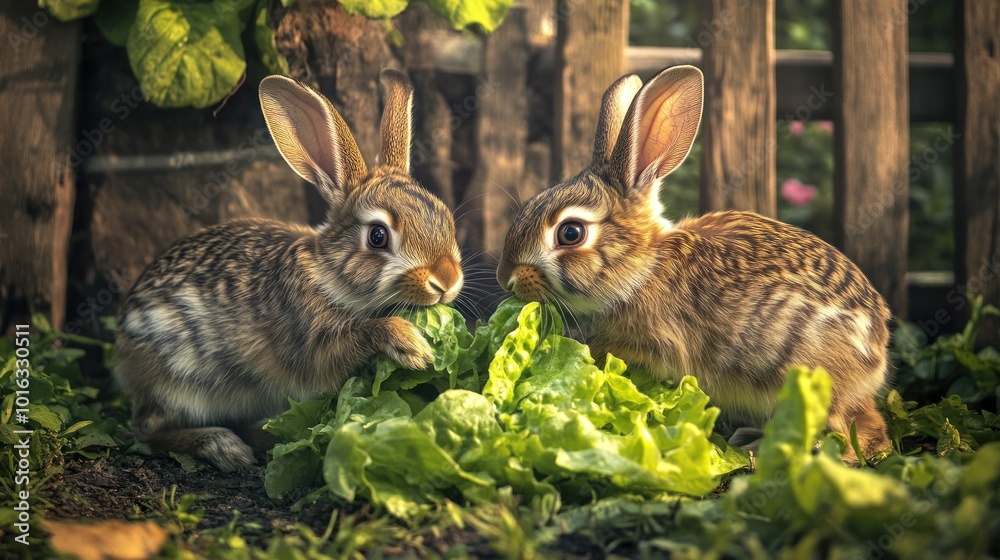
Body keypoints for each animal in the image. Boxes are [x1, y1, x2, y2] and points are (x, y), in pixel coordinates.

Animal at [114, 69, 464, 471]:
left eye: (444, 214)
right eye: (377, 236)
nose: (447, 281)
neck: (330, 277)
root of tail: (123, 350)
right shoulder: (311, 343)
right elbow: (353, 342)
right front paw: (413, 347)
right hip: (175, 381)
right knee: (145, 430)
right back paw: (224, 446)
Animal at [496, 65, 891, 461]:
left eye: (571, 232)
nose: (506, 279)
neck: (644, 270)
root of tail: (877, 353)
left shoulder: (658, 343)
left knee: (855, 432)